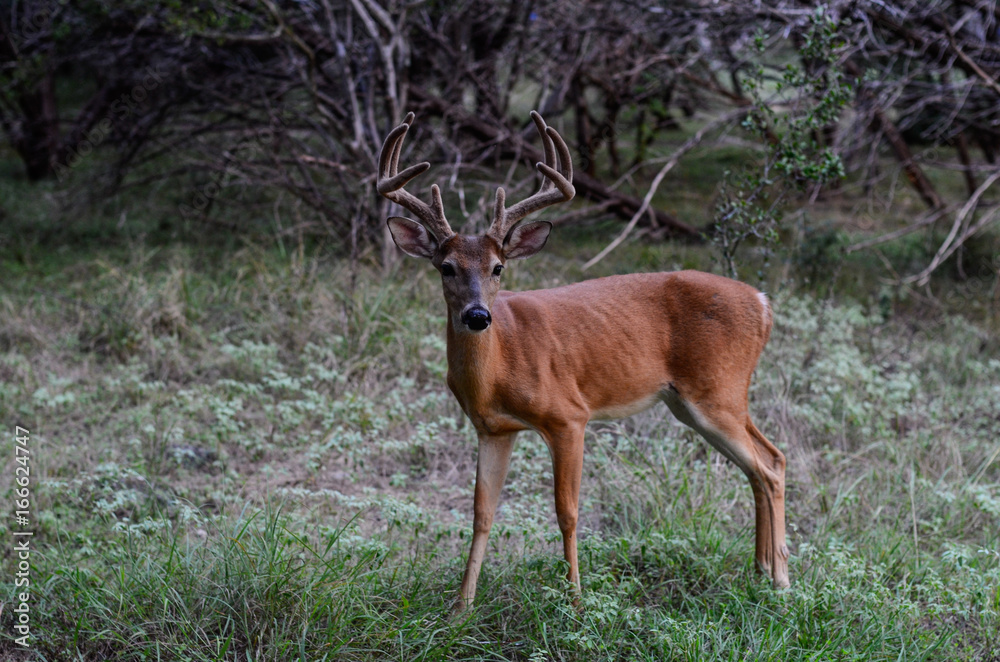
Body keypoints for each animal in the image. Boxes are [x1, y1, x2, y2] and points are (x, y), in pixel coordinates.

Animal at [377, 111, 789, 612]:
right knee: (764, 461)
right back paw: (762, 571)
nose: (477, 315)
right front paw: (461, 607)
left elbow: (567, 511)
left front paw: (574, 600)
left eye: (498, 267)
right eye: (446, 267)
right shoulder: (493, 428)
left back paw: (781, 581)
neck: (497, 371)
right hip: (697, 401)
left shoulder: (569, 416)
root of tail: (764, 304)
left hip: (717, 389)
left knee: (769, 465)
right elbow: (481, 512)